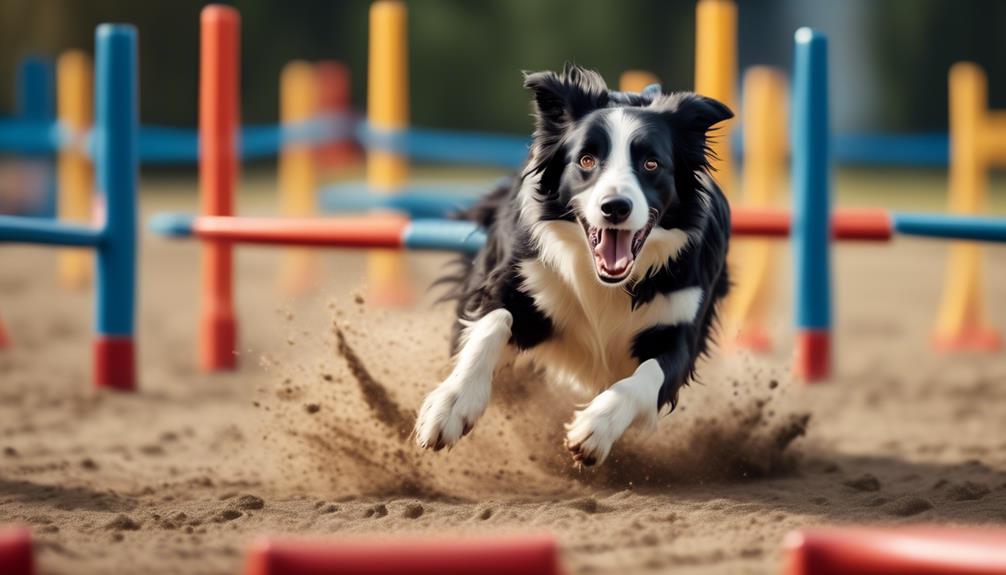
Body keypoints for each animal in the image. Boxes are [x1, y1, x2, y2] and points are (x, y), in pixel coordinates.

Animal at [412, 64, 736, 466]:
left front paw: (596, 427)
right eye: (585, 161)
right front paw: (450, 407)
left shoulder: (681, 329)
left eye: (651, 164)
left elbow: (647, 376)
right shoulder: (519, 281)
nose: (615, 207)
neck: (607, 284)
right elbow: (491, 325)